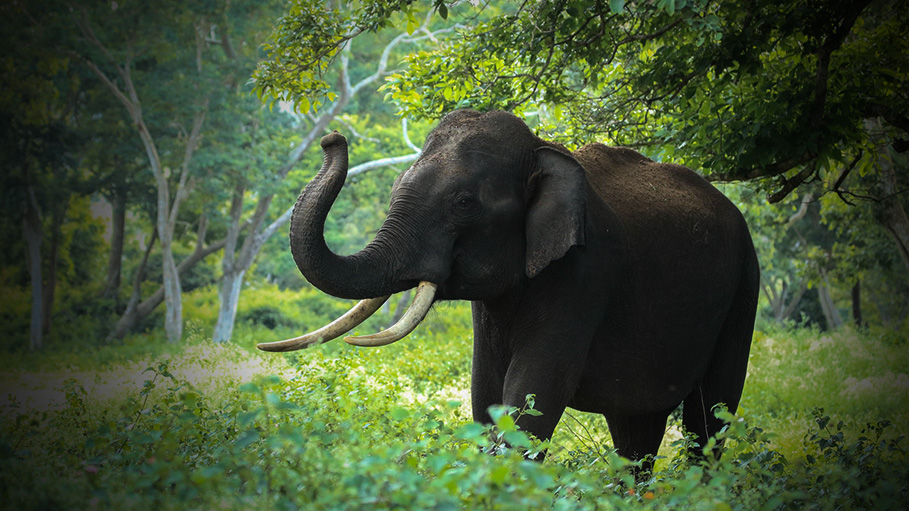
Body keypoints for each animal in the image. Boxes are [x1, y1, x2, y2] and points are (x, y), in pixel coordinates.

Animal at [258, 109, 760, 471]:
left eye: (463, 202)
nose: (332, 138)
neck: (542, 149)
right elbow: (487, 393)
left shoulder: (586, 272)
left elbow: (532, 394)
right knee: (635, 431)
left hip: (745, 286)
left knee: (711, 416)